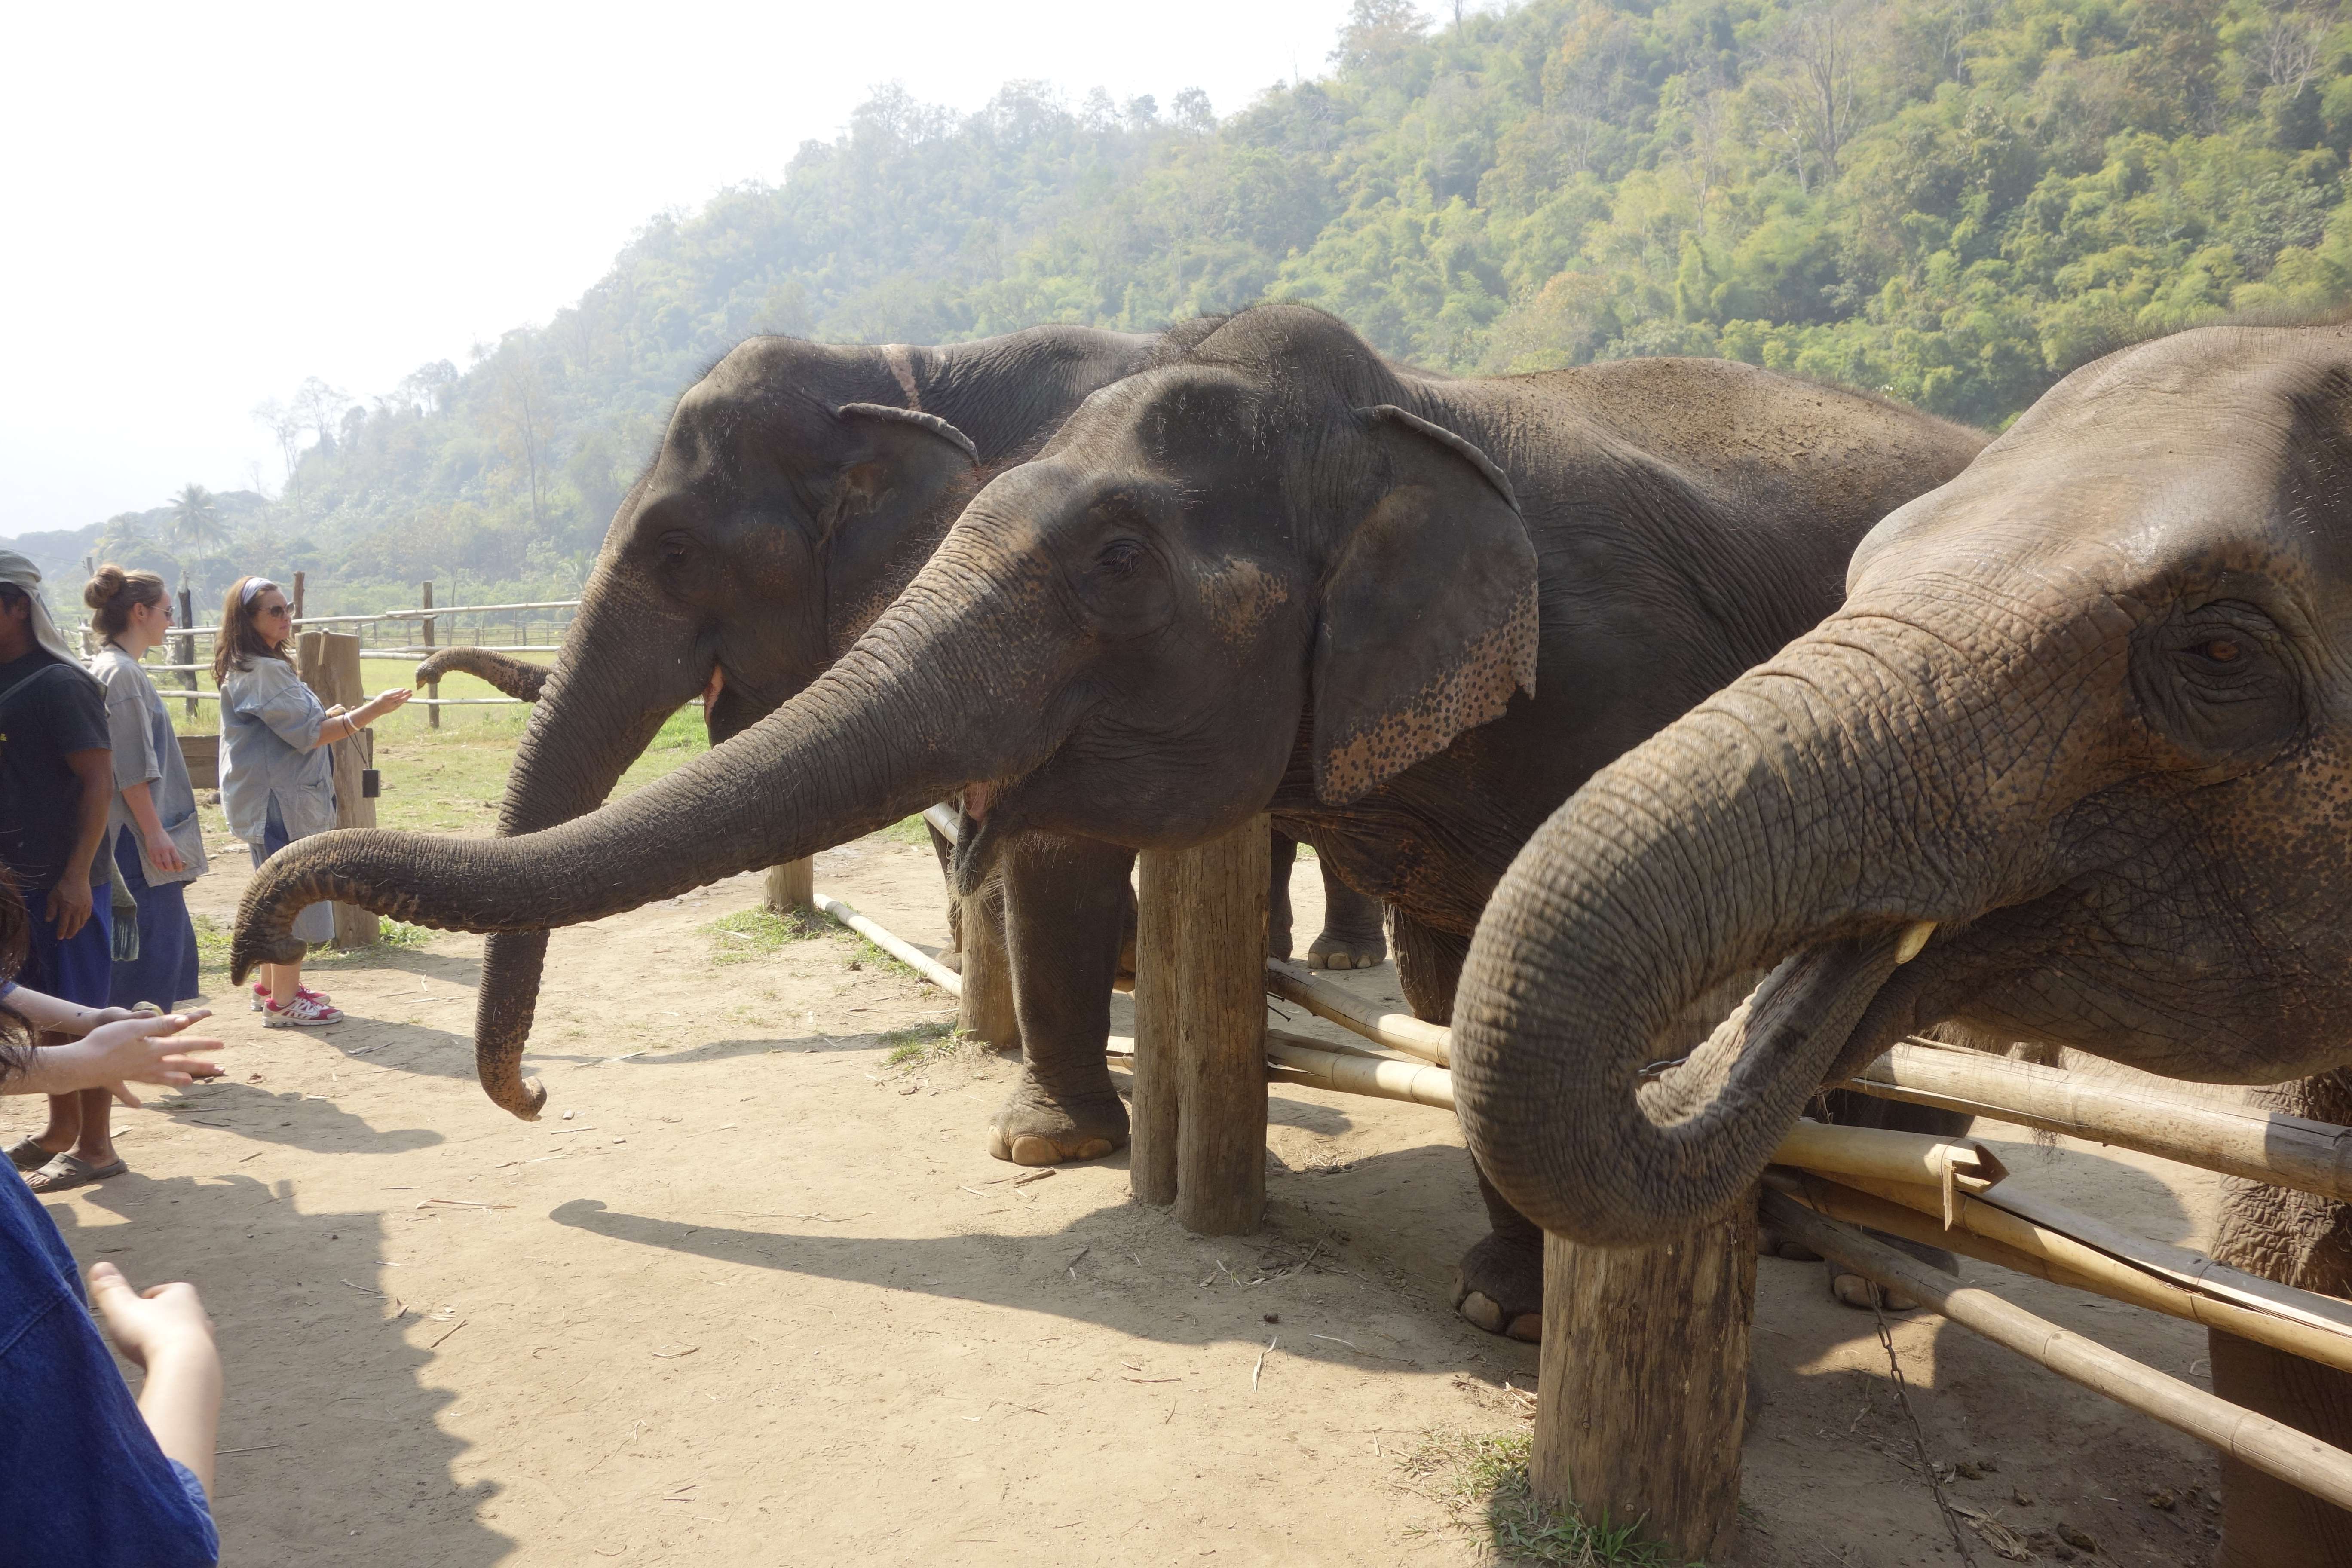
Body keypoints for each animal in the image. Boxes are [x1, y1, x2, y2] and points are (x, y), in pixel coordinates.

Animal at [230, 302, 1985, 1340]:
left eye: (672, 551)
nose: (533, 1098)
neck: (913, 349)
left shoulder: (1629, 695)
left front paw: (1046, 1137)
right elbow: (1457, 976)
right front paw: (1501, 1302)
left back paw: (1859, 1240)